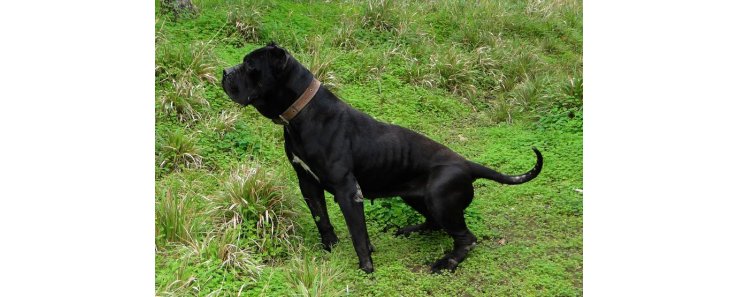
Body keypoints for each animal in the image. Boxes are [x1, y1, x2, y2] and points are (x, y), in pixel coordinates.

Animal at [221, 42, 544, 272]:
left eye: (250, 65)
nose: (225, 72)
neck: (301, 113)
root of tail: (467, 164)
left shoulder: (347, 191)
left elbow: (358, 234)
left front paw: (366, 267)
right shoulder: (307, 183)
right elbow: (322, 220)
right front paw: (330, 248)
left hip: (439, 199)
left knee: (466, 238)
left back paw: (447, 262)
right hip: (416, 196)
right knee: (434, 224)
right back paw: (411, 230)